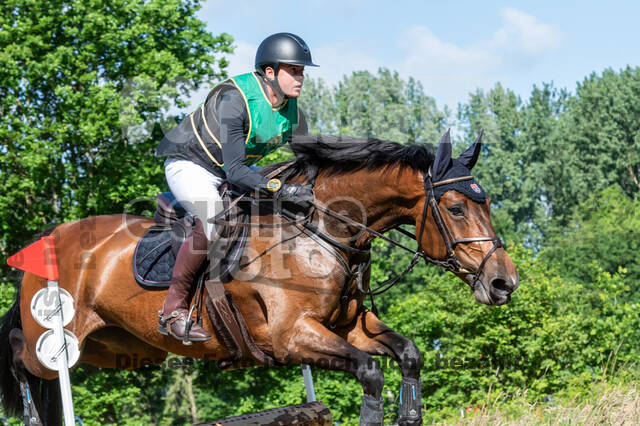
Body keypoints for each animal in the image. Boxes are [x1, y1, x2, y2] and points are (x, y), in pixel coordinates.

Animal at [0, 130, 519, 425]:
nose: (504, 283)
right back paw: (28, 415)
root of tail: (47, 239)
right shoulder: (292, 336)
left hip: (115, 348)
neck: (321, 230)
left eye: (487, 201)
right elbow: (370, 373)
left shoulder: (348, 326)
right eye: (456, 208)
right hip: (58, 340)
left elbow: (408, 354)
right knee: (19, 353)